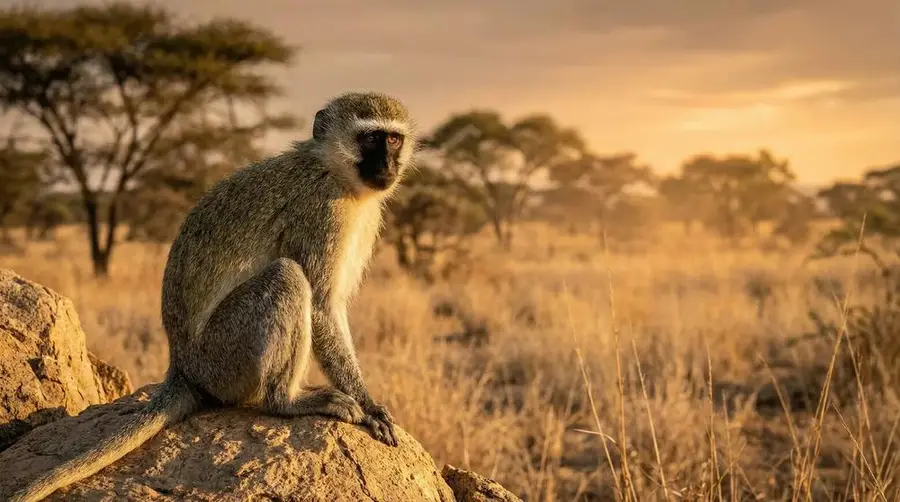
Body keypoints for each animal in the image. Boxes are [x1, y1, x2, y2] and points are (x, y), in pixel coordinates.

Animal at [9, 91, 419, 502]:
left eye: (393, 139)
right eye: (370, 138)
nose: (388, 164)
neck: (332, 170)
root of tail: (183, 368)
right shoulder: (323, 212)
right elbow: (321, 305)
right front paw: (368, 404)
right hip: (223, 358)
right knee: (287, 276)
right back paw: (286, 402)